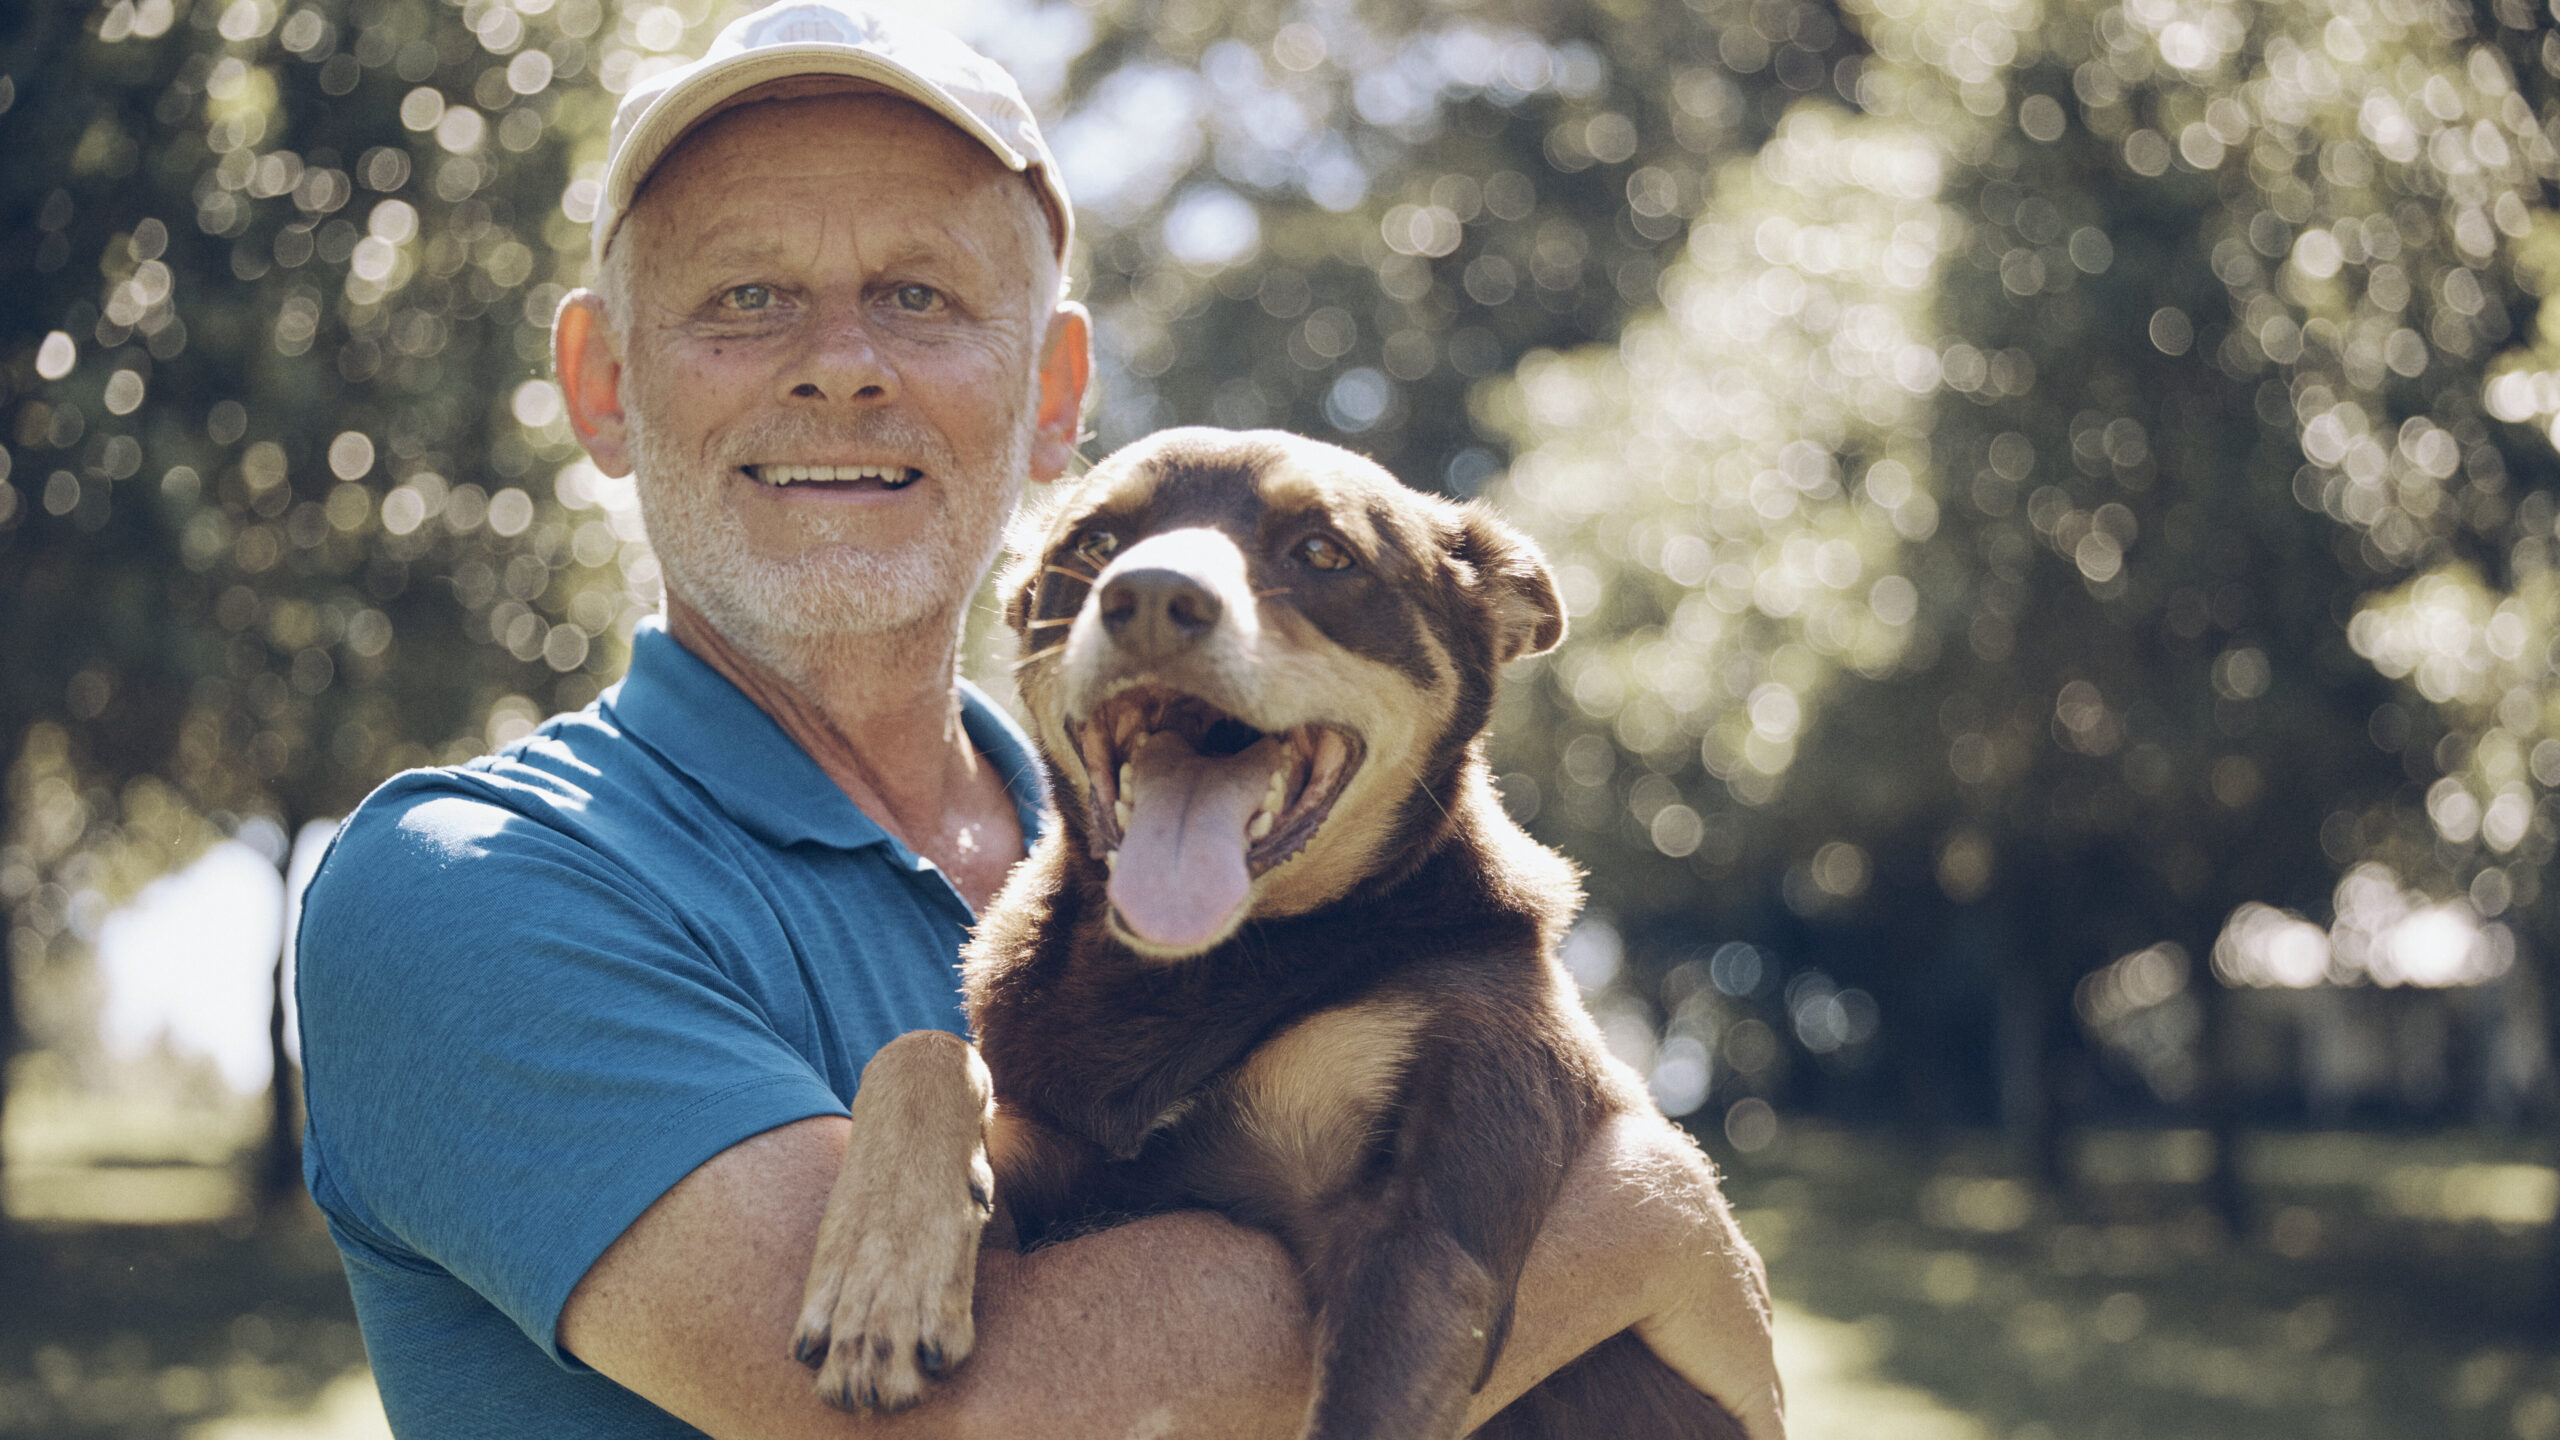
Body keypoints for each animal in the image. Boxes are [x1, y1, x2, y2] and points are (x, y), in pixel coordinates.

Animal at [788, 427, 1751, 1434]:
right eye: (1095, 544)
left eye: (1323, 552)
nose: (1149, 597)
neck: (1183, 973)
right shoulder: (1066, 1170)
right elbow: (923, 1050)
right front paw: (877, 1281)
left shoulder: (1431, 1226)